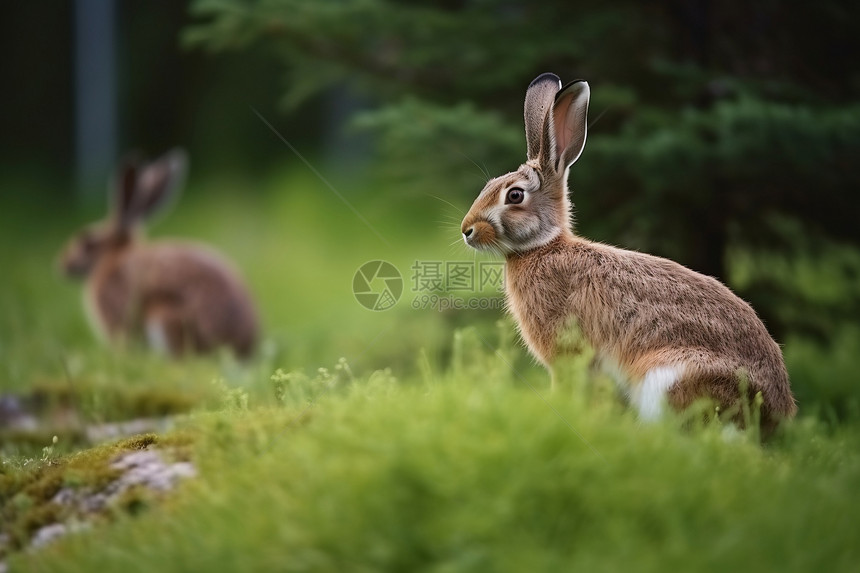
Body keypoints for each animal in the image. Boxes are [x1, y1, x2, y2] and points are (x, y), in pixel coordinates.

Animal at [460, 72, 796, 428]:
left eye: (514, 196)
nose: (467, 230)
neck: (544, 247)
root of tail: (775, 415)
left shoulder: (569, 350)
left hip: (667, 377)